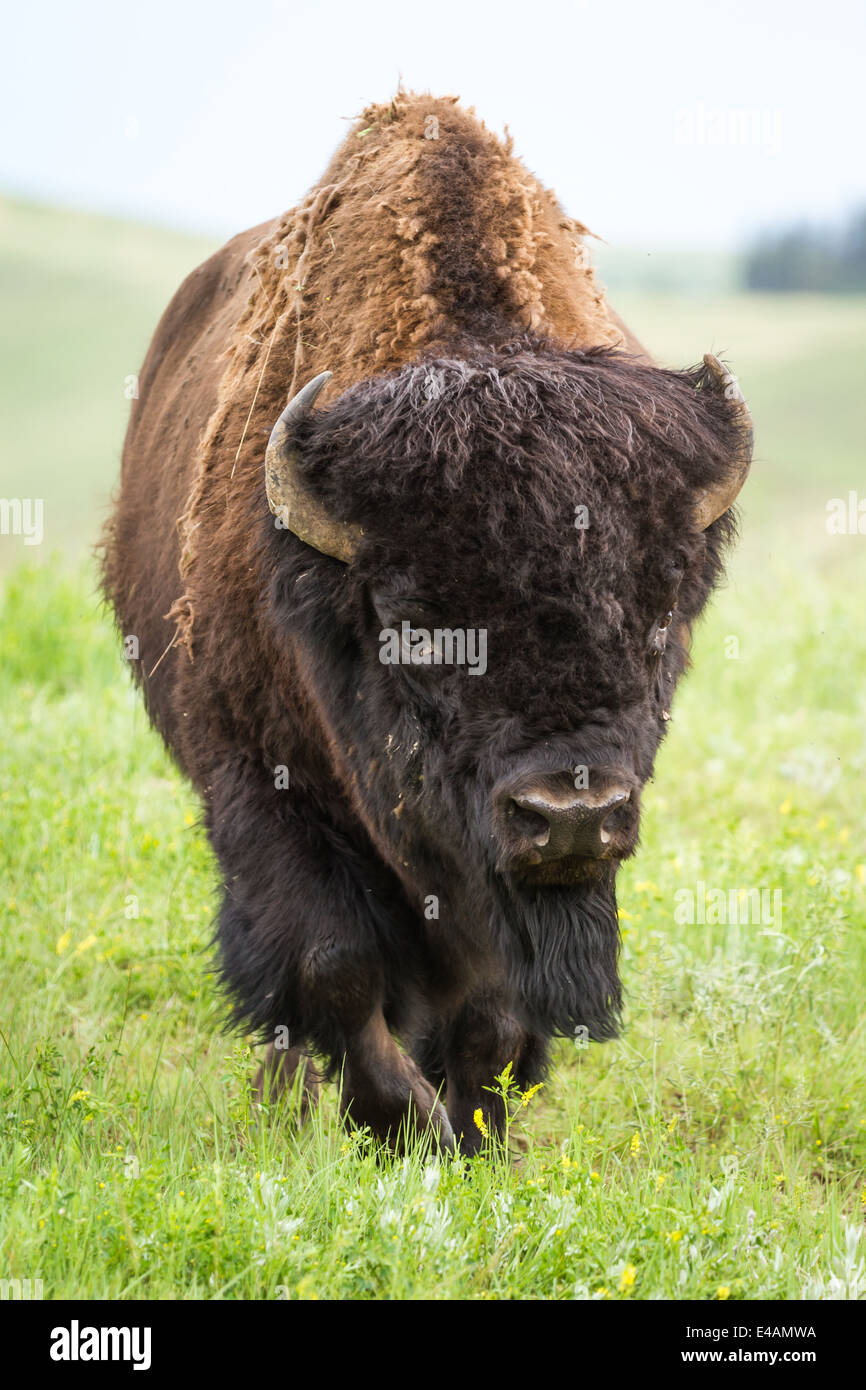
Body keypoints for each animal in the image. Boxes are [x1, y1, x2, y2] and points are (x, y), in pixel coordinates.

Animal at [102, 92, 752, 1153]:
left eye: (660, 608)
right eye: (414, 622)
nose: (572, 813)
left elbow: (491, 1006)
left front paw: (475, 1129)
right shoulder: (256, 780)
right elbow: (332, 962)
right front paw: (402, 1123)